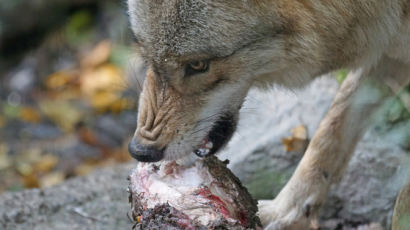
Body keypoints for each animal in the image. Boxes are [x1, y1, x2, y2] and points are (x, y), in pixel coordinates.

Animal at [126, 0, 408, 229]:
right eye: (146, 55)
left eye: (198, 65)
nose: (140, 151)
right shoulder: (388, 52)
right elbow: (330, 132)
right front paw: (286, 213)